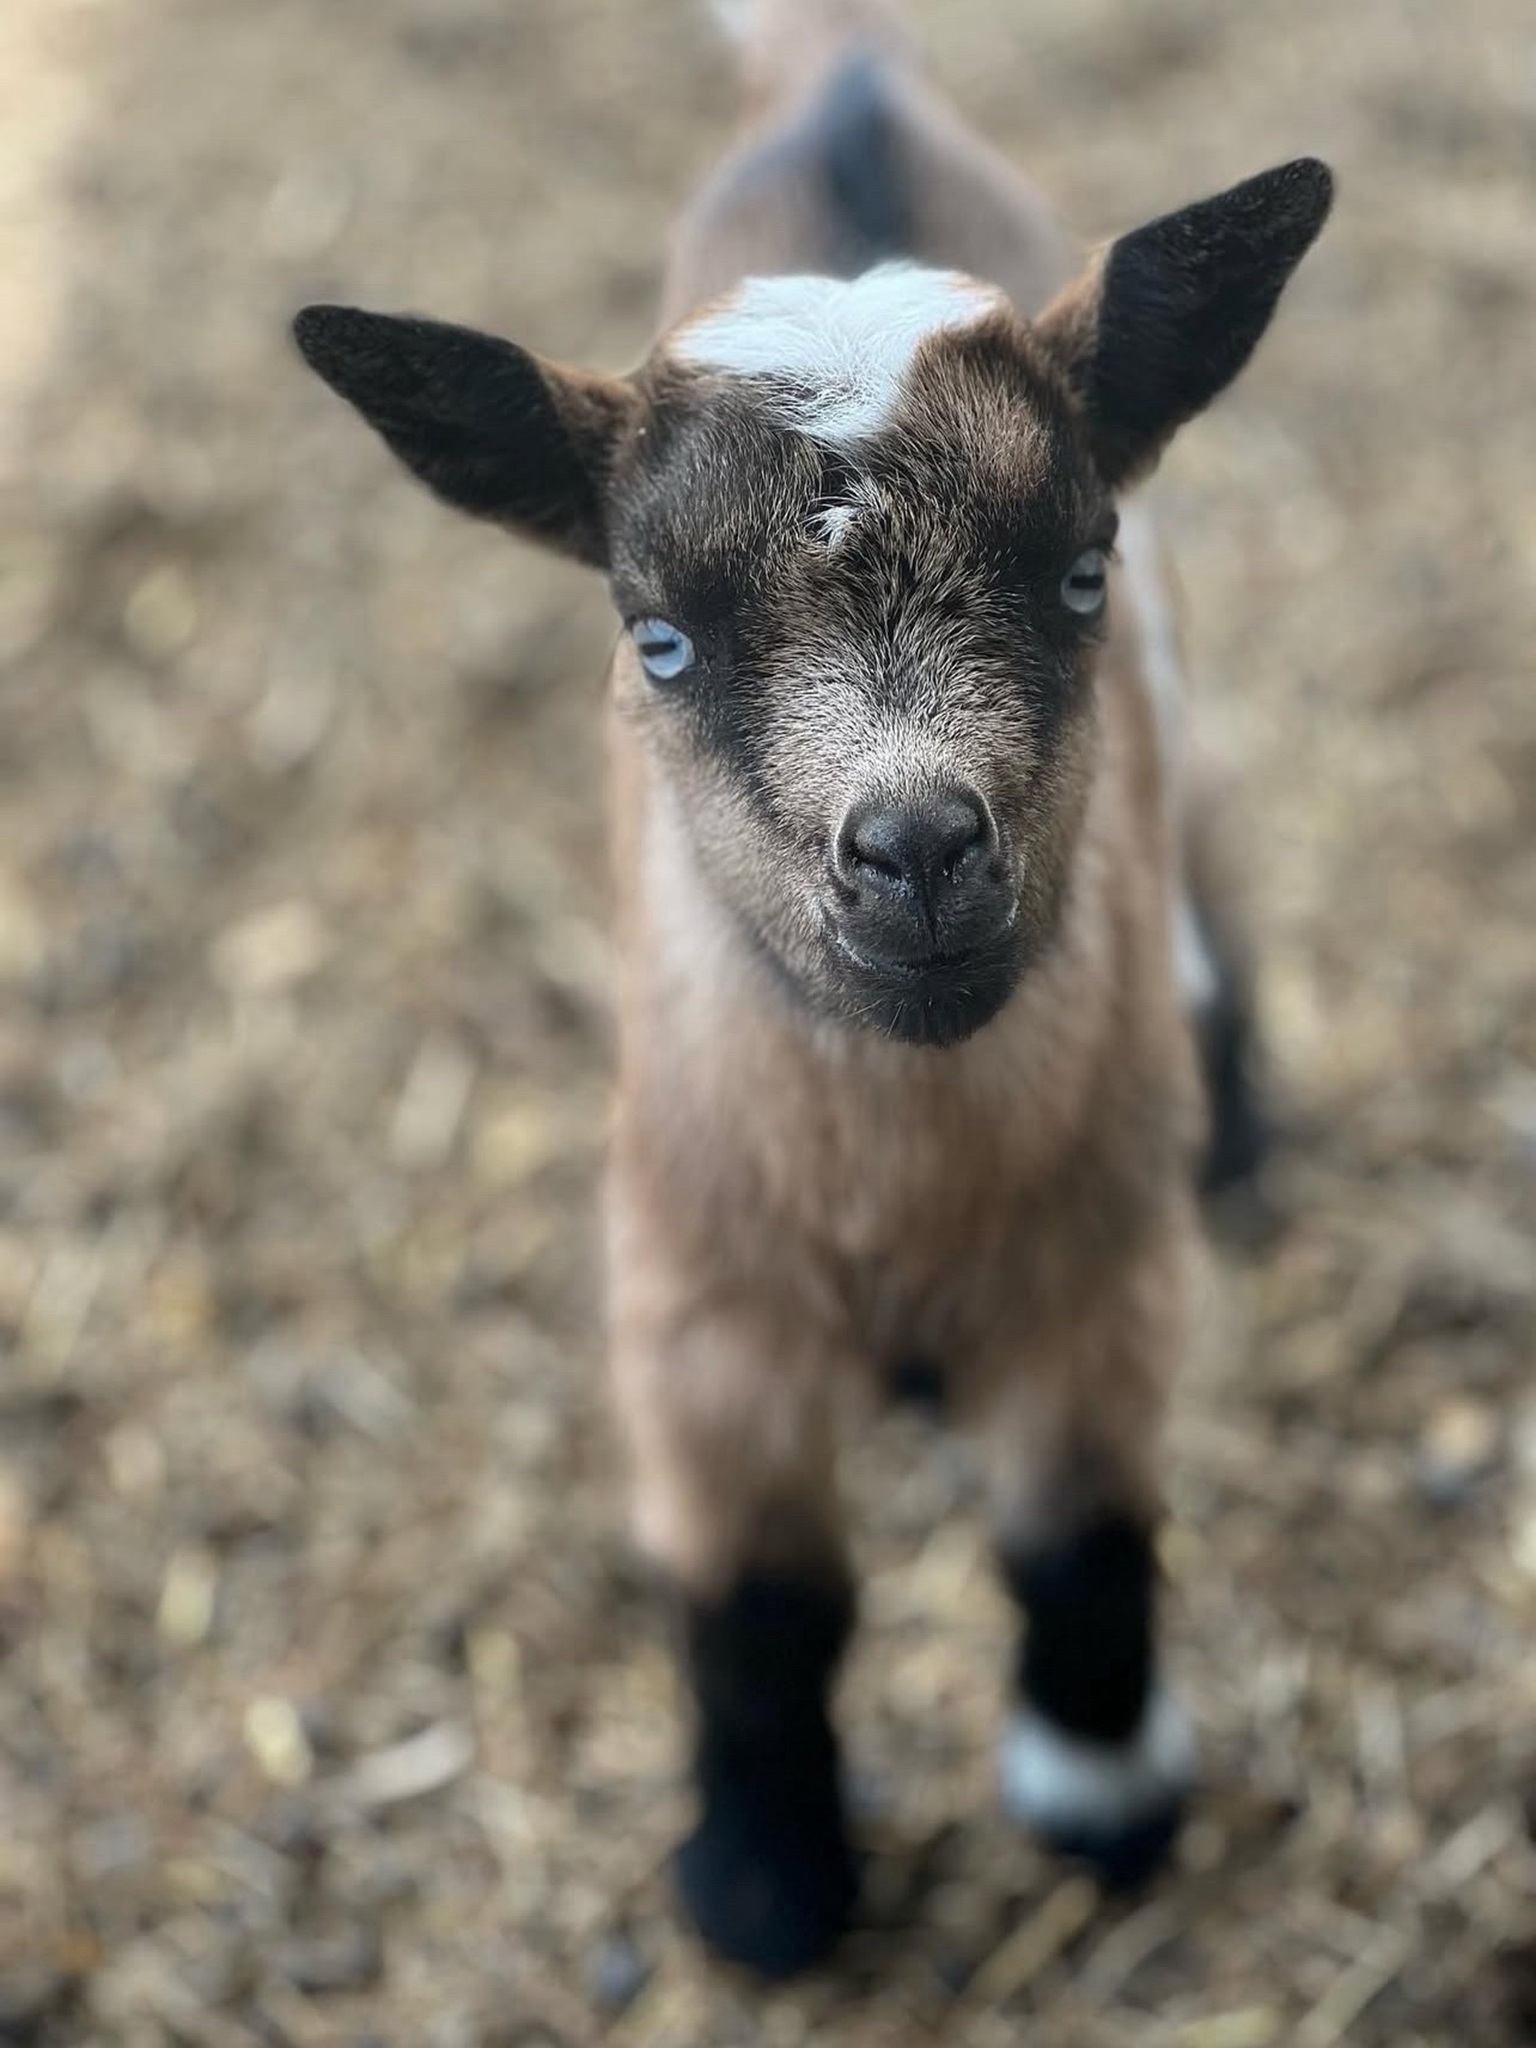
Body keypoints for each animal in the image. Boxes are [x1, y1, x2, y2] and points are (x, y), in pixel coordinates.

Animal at [294, 0, 1332, 1980]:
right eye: (657, 638)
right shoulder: (695, 1318)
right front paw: (765, 1890)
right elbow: (760, 1610)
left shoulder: (1102, 1283)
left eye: (1073, 571)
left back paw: (1242, 1134)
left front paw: (1102, 1798)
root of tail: (840, 70)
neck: (897, 1194)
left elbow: (1081, 1545)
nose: (918, 847)